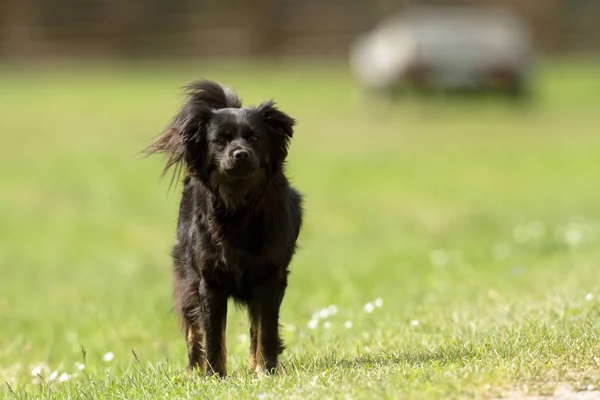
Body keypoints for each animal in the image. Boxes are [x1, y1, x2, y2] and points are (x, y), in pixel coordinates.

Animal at [146, 79, 304, 376]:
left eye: (254, 138)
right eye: (220, 140)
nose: (240, 153)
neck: (239, 206)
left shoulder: (271, 277)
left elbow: (265, 331)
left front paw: (267, 370)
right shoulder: (209, 281)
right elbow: (212, 333)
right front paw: (214, 375)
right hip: (187, 278)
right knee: (193, 328)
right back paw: (194, 370)